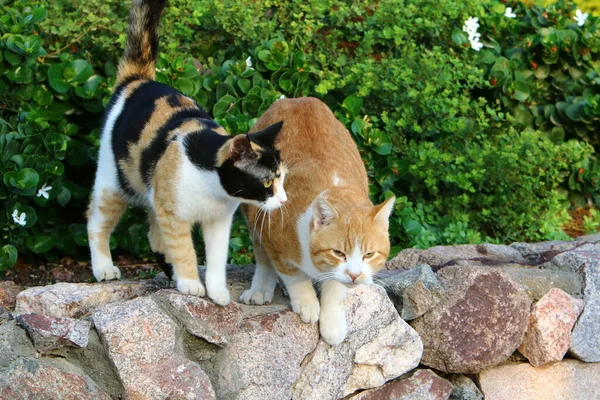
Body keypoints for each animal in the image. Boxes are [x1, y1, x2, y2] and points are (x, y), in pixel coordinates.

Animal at [86, 0, 288, 304]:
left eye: (283, 178)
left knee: (153, 235)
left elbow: (216, 258)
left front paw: (217, 291)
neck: (211, 187)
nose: (285, 199)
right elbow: (184, 249)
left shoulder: (218, 222)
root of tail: (137, 79)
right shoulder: (173, 214)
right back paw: (104, 268)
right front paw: (191, 283)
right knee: (96, 221)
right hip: (114, 181)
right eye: (266, 183)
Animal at [241, 97, 396, 344]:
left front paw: (332, 322)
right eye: (338, 253)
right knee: (262, 256)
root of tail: (297, 99)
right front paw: (307, 304)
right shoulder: (272, 237)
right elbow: (293, 275)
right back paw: (261, 289)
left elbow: (335, 288)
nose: (355, 275)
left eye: (369, 254)